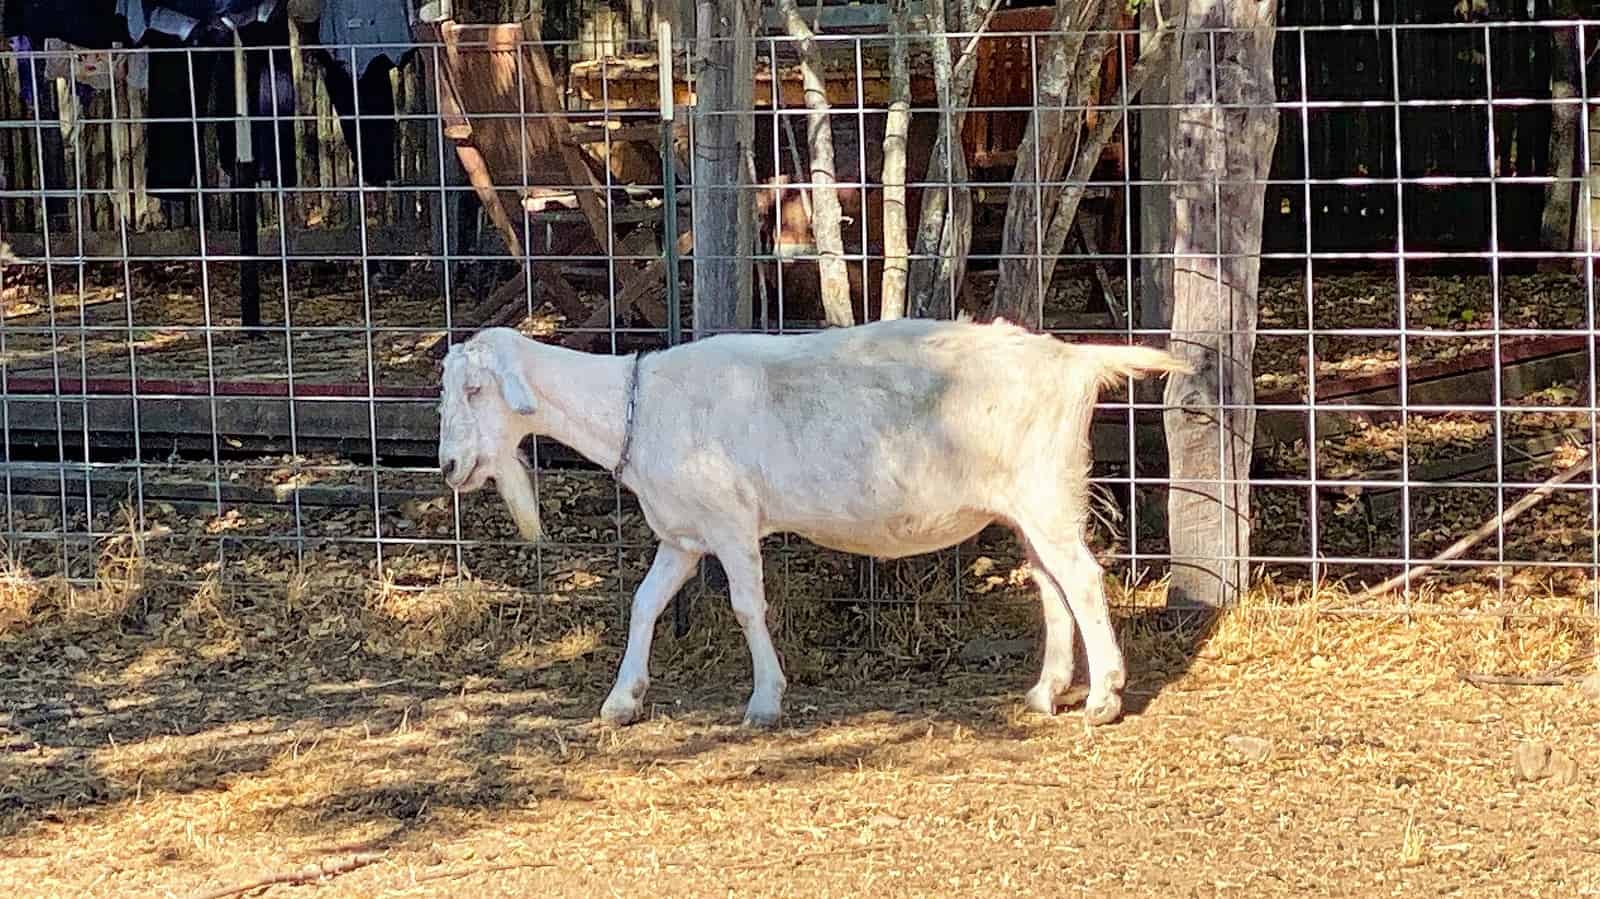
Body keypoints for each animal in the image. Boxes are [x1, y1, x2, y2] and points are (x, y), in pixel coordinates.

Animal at [438, 318, 1190, 723]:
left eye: (474, 388)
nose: (448, 466)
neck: (638, 404)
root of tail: (1073, 360)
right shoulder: (684, 534)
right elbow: (645, 603)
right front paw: (624, 699)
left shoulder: (731, 521)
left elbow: (746, 606)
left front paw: (766, 699)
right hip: (1031, 504)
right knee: (1051, 583)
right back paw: (1045, 692)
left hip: (1047, 491)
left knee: (1083, 579)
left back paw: (1103, 698)